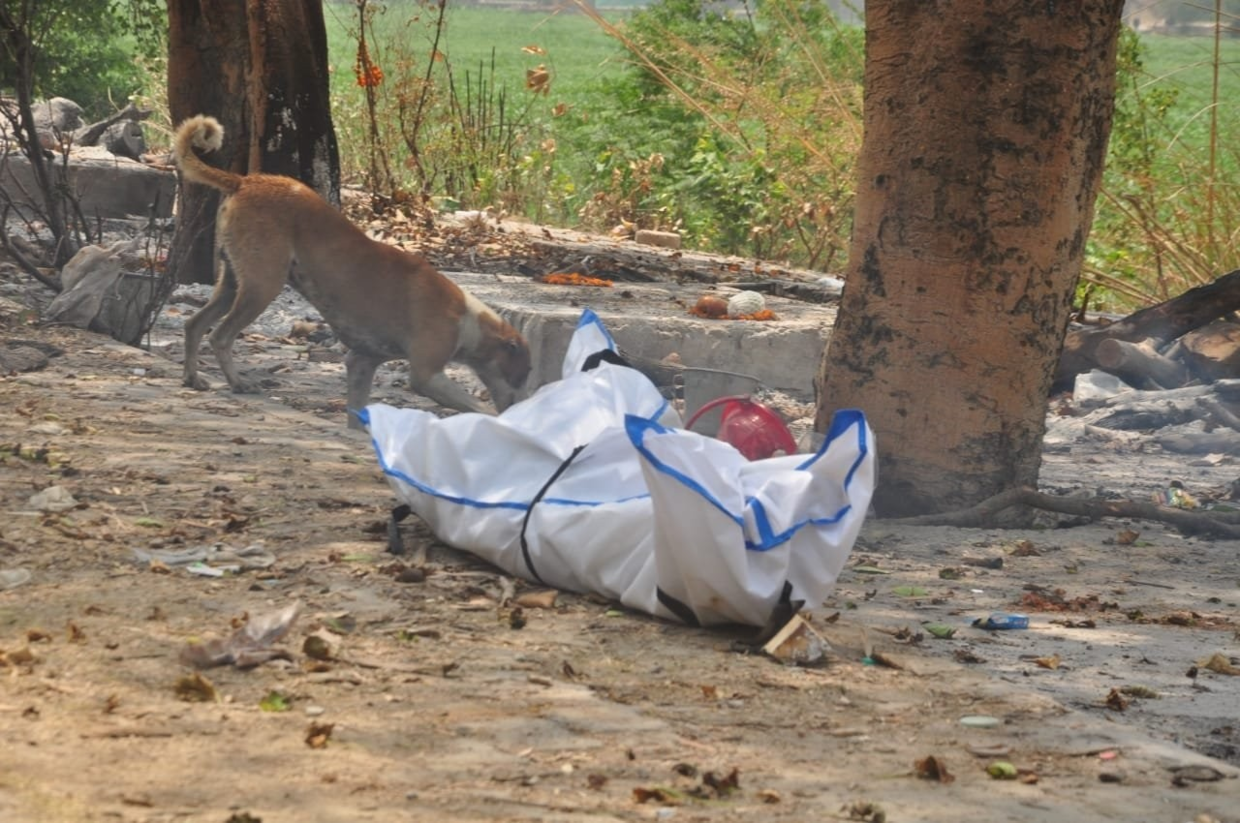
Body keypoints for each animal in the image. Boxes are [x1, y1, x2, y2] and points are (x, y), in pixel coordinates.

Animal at [169, 115, 528, 431]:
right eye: (525, 373)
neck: (470, 319)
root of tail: (244, 180)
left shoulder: (362, 361)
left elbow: (357, 411)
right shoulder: (426, 375)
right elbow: (476, 406)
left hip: (233, 280)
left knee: (194, 324)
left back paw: (193, 377)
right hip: (263, 285)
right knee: (220, 335)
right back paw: (237, 382)